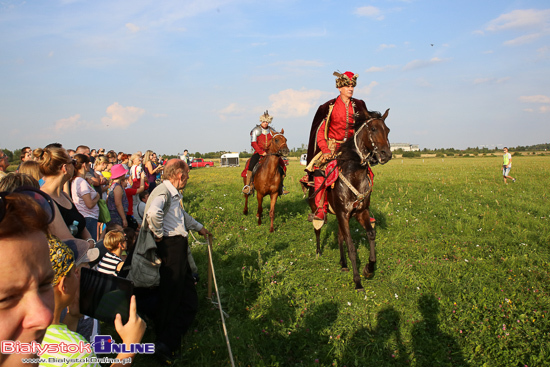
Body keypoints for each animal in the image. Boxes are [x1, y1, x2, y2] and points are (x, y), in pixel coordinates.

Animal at [308, 108, 394, 292]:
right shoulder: (343, 214)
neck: (354, 175)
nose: (386, 154)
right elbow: (351, 246)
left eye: (388, 130)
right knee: (318, 229)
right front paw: (358, 282)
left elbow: (370, 234)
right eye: (373, 129)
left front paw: (369, 269)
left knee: (340, 236)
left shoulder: (360, 212)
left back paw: (343, 264)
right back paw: (318, 252)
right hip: (316, 209)